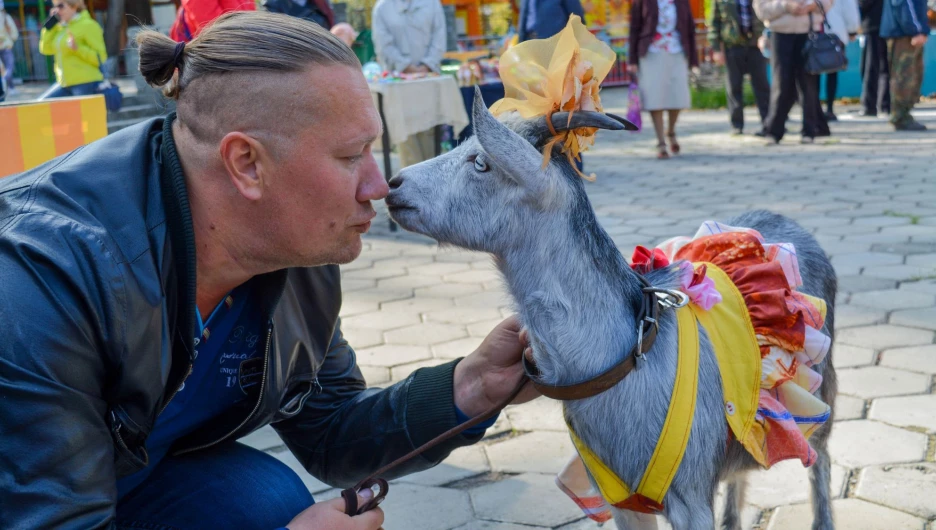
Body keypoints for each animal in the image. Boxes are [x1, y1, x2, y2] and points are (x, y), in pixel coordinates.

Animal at [384, 92, 836, 528]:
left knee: (821, 460)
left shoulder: (690, 498)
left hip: (821, 396)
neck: (623, 363)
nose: (393, 184)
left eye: (481, 163)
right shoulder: (621, 501)